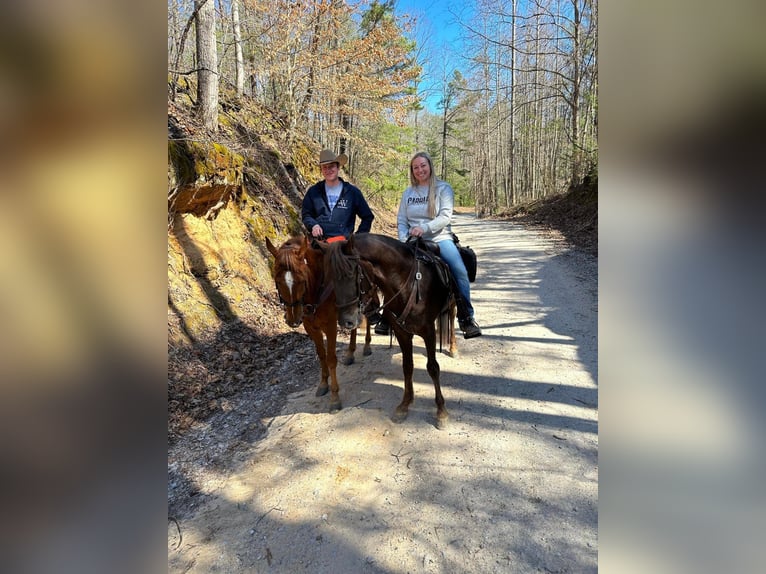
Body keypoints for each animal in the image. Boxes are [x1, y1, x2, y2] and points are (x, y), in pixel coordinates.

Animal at [264, 235, 372, 414]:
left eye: (301, 279)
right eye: (277, 280)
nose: (293, 319)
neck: (317, 288)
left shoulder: (330, 326)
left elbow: (331, 359)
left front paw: (334, 398)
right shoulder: (310, 327)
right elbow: (321, 355)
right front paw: (322, 385)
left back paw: (367, 346)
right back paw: (350, 353)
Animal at [322, 232, 460, 430]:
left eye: (351, 274)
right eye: (331, 277)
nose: (345, 321)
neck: (408, 285)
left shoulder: (428, 332)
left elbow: (433, 368)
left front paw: (441, 412)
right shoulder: (402, 333)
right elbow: (407, 367)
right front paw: (404, 405)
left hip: (453, 303)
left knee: (452, 319)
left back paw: (454, 347)